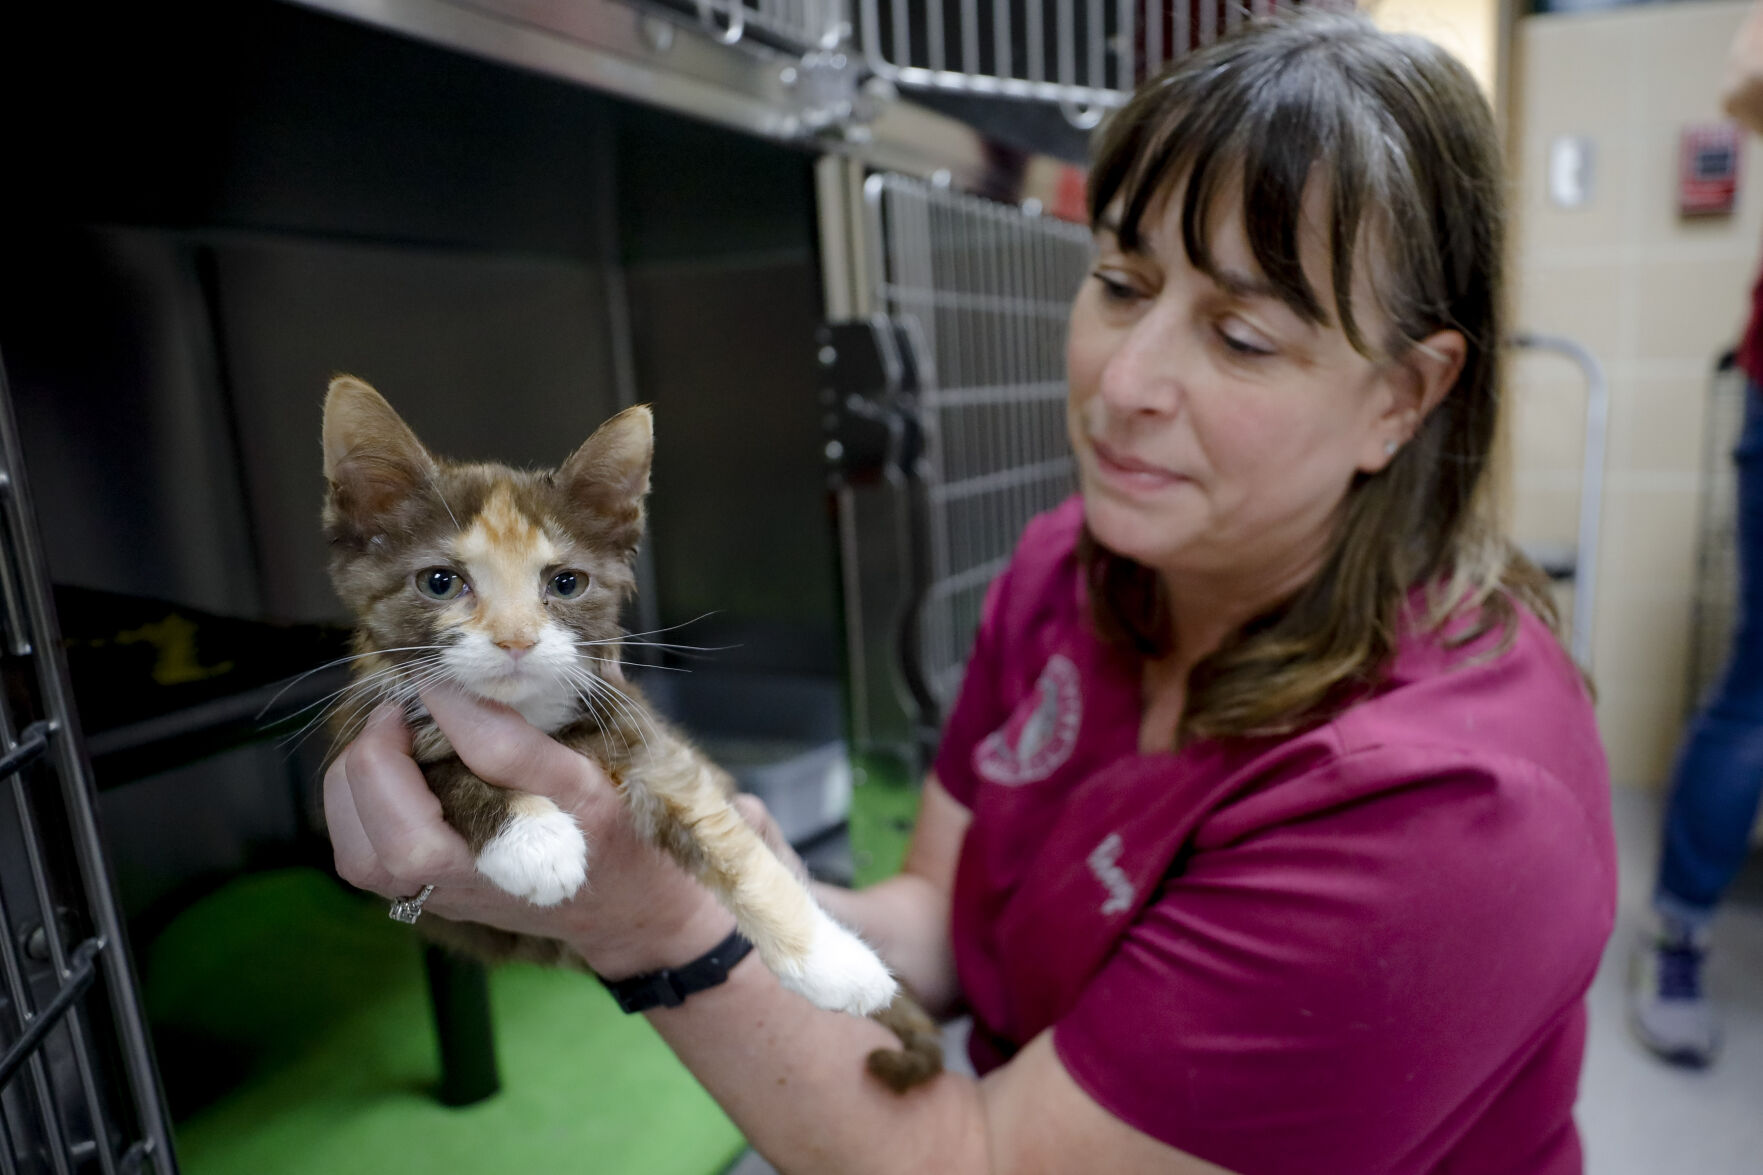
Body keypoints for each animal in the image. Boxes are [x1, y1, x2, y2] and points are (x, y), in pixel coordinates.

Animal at [324, 377, 944, 1079]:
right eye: (439, 581)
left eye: (566, 582)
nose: (516, 640)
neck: (530, 719)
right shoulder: (364, 725)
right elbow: (442, 768)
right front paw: (534, 840)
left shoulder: (648, 741)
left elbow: (732, 844)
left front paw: (834, 962)